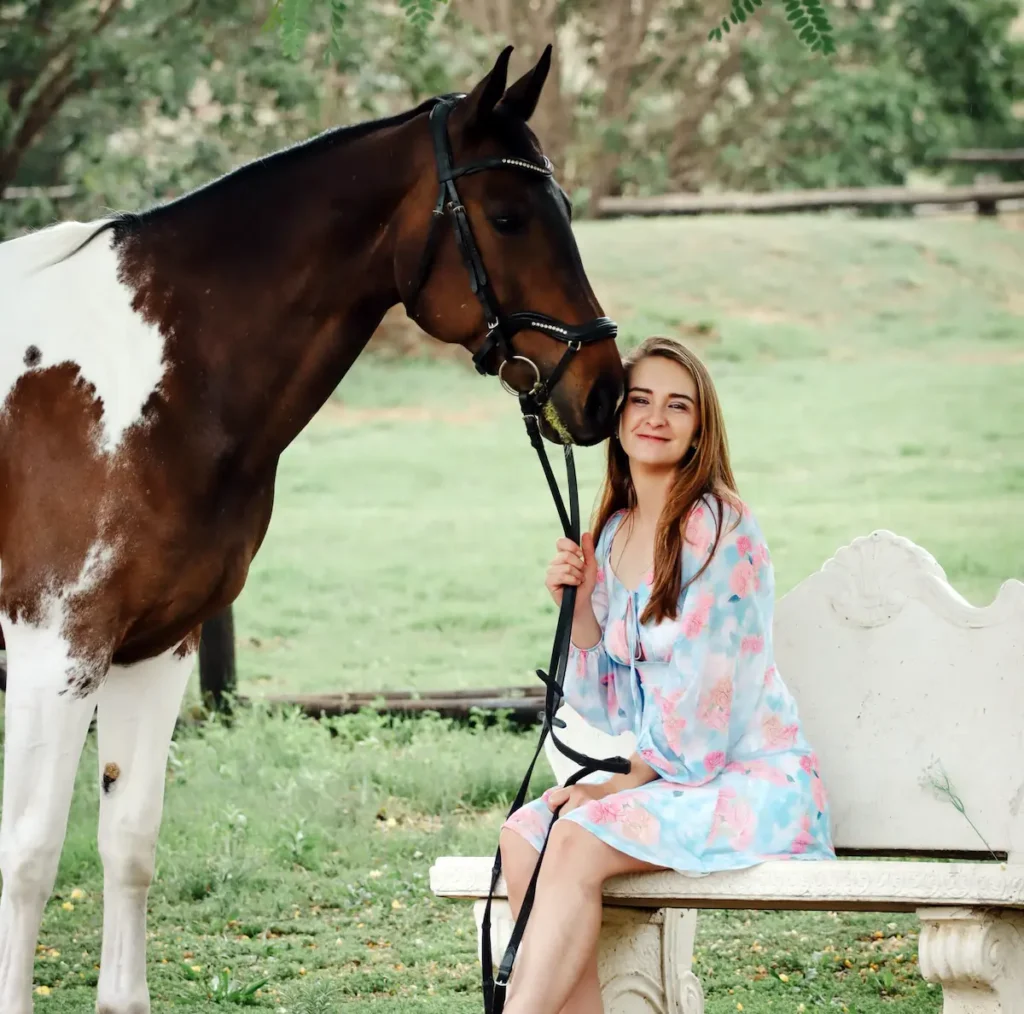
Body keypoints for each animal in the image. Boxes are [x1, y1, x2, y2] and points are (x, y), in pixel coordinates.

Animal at [0, 44, 624, 1013]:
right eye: (509, 216)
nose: (604, 389)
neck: (142, 384)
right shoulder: (54, 649)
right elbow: (29, 858)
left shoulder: (155, 648)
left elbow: (129, 845)